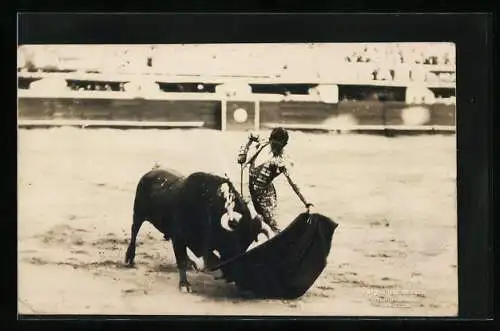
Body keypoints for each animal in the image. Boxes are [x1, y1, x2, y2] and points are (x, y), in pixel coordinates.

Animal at [124, 169, 264, 294]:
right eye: (233, 243)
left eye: (245, 246)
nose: (231, 277)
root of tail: (149, 173)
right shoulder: (179, 238)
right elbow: (182, 261)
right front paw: (184, 285)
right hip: (138, 215)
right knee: (134, 231)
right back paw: (129, 258)